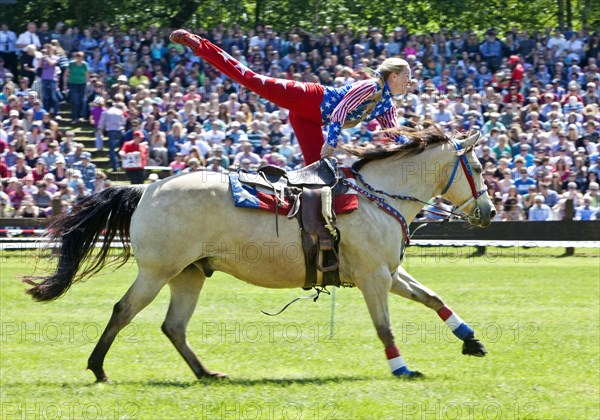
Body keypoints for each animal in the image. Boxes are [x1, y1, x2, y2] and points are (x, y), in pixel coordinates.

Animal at [24, 126, 492, 382]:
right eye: (478, 168)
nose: (487, 211)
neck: (376, 196)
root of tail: (146, 188)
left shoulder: (388, 272)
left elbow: (433, 298)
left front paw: (471, 339)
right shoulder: (373, 277)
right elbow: (385, 328)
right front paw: (401, 367)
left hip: (189, 275)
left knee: (173, 326)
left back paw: (206, 373)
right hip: (157, 272)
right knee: (124, 311)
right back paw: (98, 367)